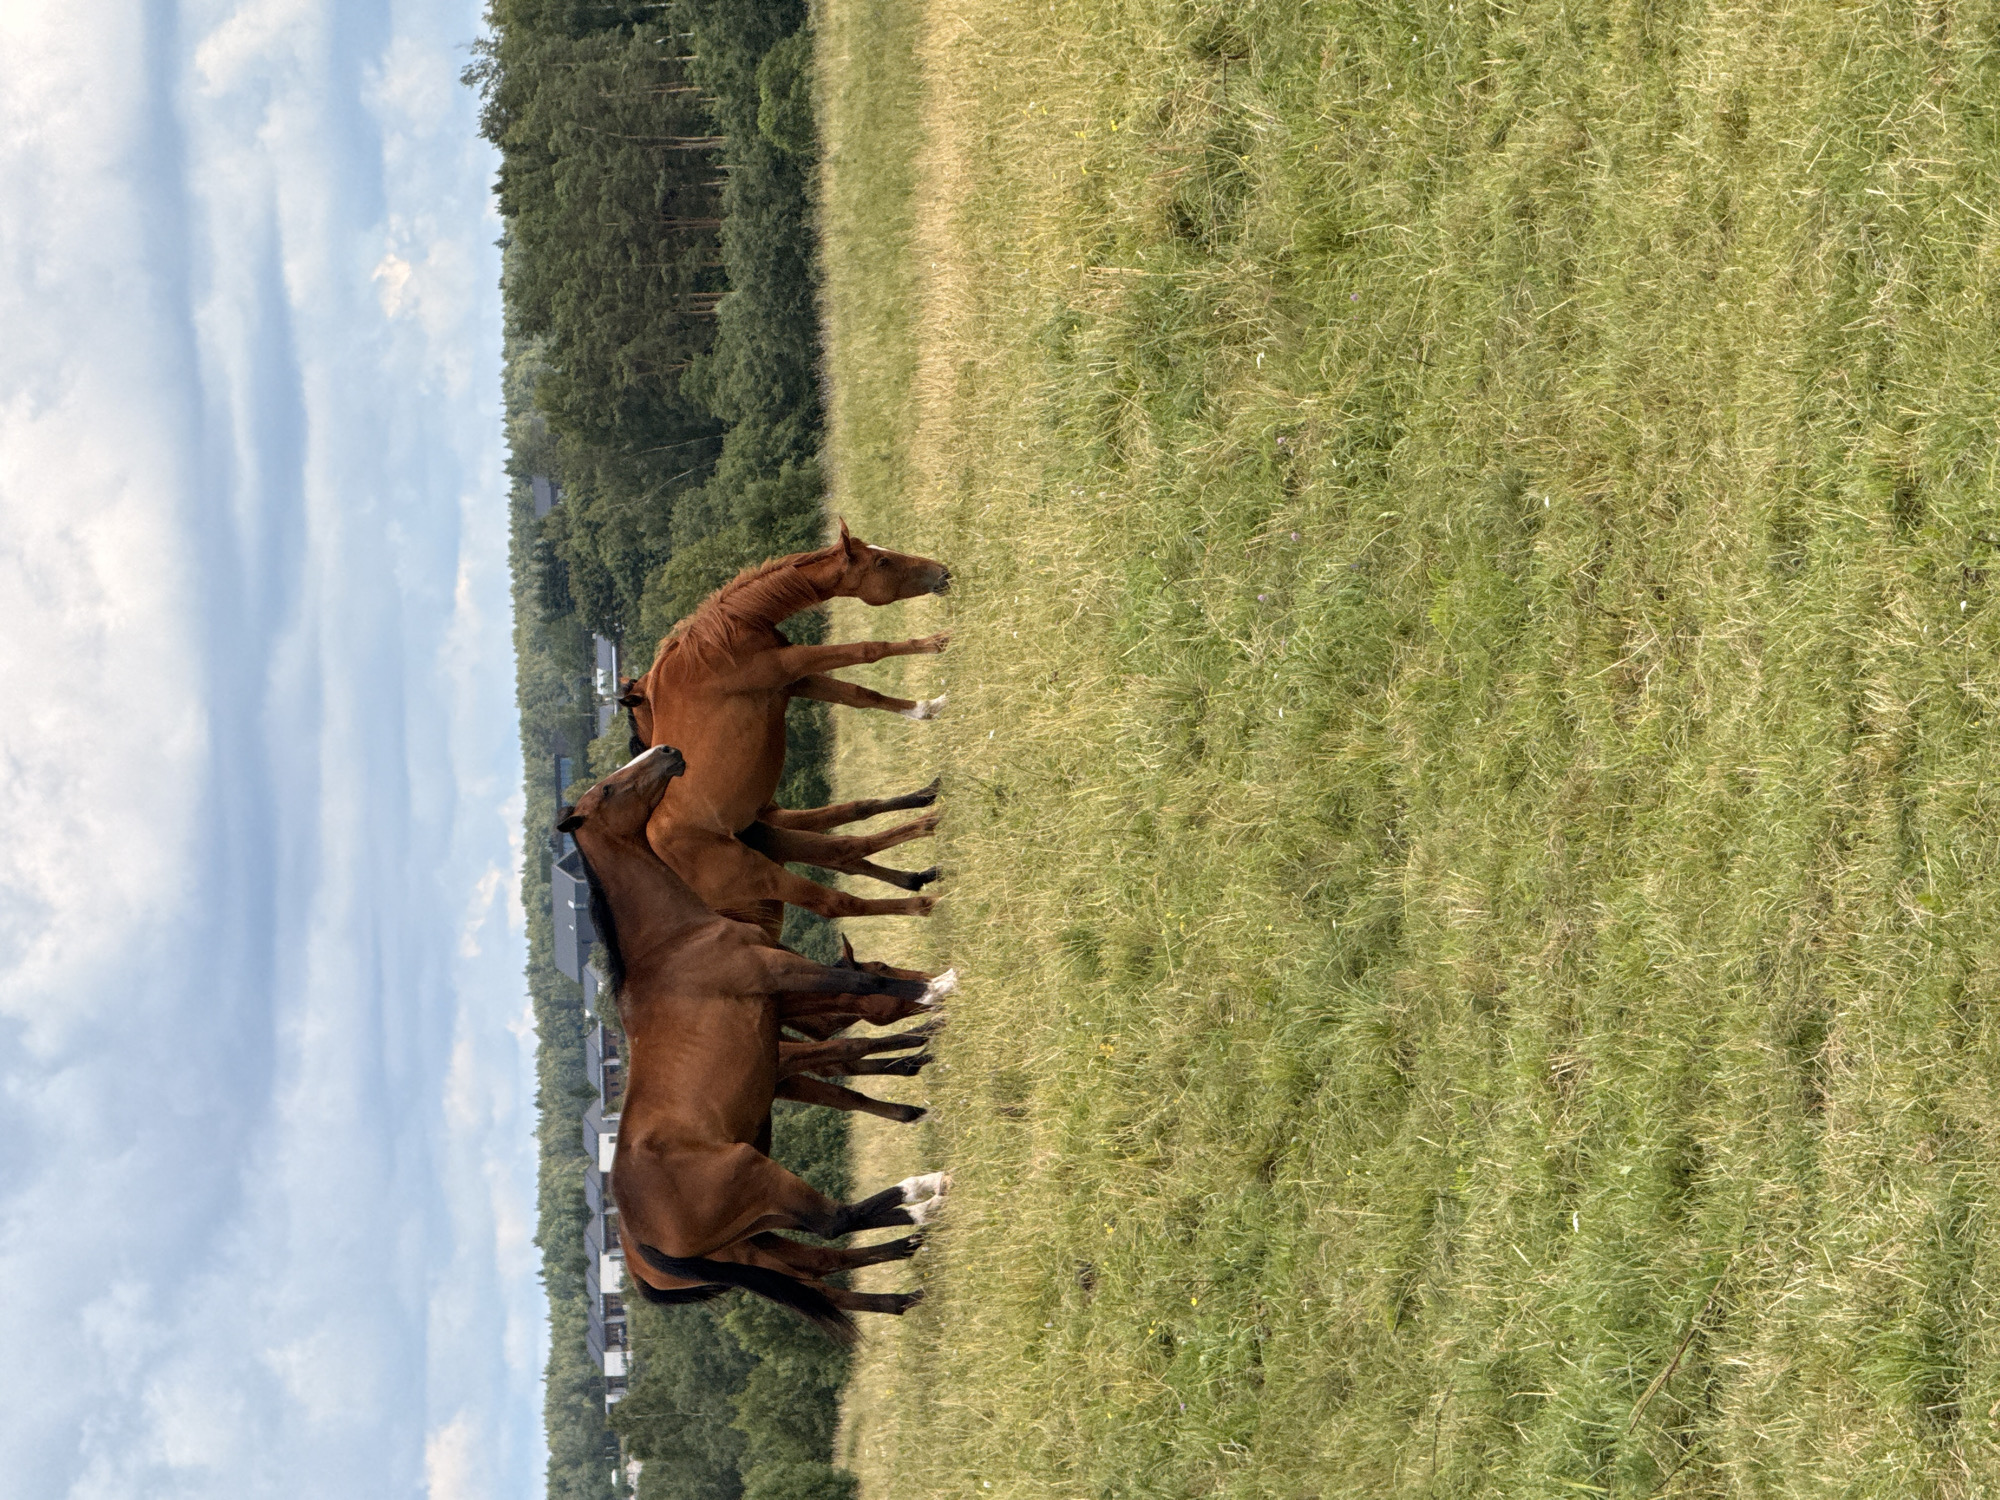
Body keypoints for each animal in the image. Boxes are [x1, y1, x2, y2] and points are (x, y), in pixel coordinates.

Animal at [560, 743, 950, 1340]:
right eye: (607, 789)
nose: (668, 752)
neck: (675, 943)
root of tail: (636, 1234)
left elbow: (853, 1034)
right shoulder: (778, 975)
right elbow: (867, 993)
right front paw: (938, 990)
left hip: (758, 1234)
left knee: (823, 1261)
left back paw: (908, 1269)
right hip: (761, 1182)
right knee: (835, 1222)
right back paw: (924, 1197)